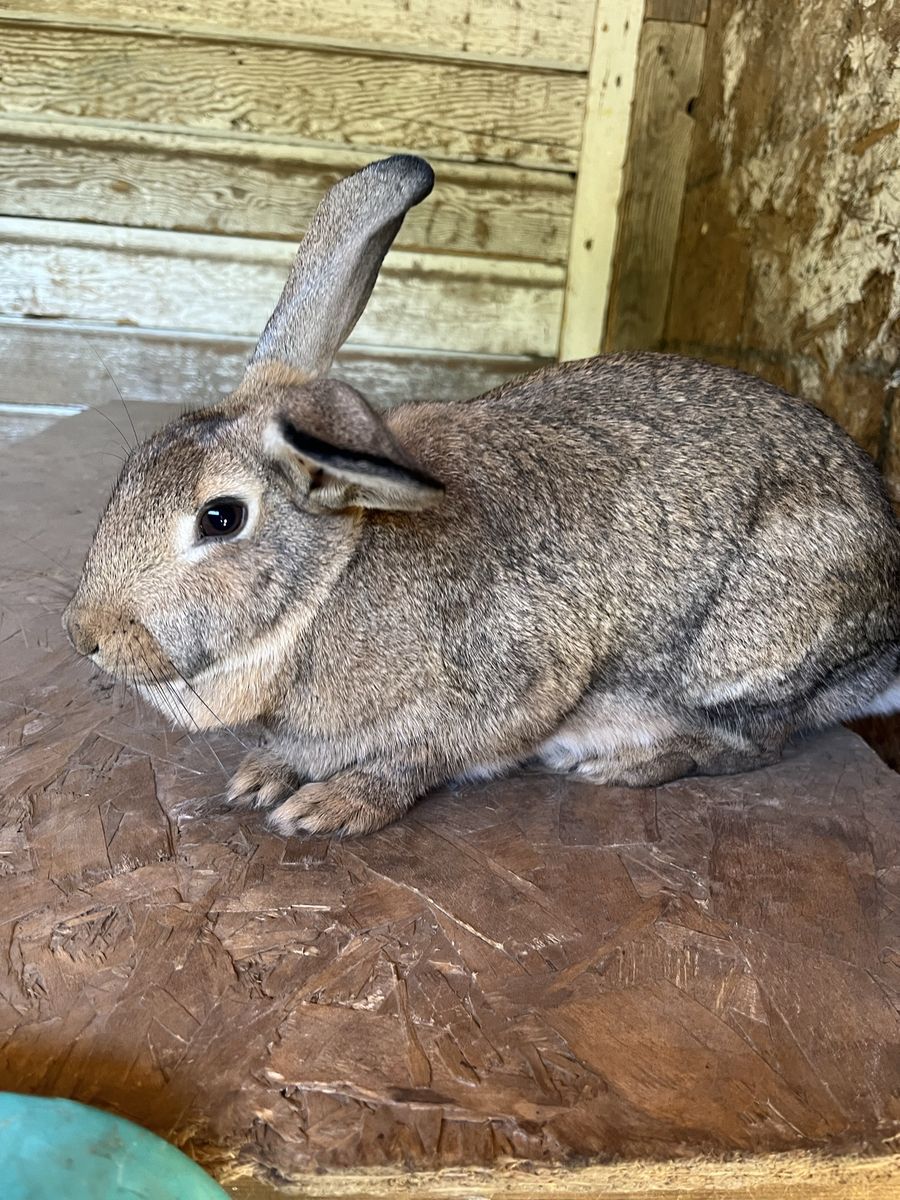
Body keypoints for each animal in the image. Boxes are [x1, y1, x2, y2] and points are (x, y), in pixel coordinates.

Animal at [64, 154, 900, 836]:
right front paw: (262, 776)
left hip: (742, 657)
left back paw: (622, 764)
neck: (330, 581)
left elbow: (422, 759)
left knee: (753, 743)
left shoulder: (516, 689)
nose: (85, 636)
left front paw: (328, 807)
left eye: (221, 518)